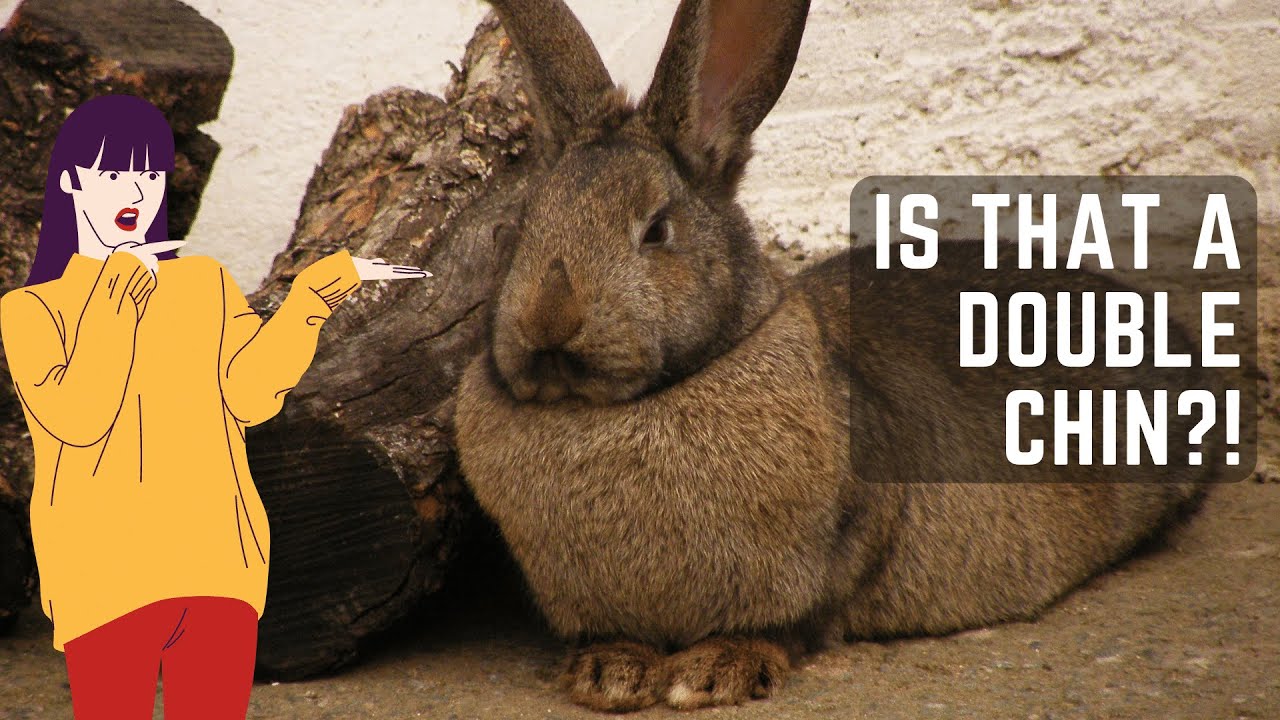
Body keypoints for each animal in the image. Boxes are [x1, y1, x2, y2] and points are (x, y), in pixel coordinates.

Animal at [454, 0, 1212, 712]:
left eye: (657, 230)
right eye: (522, 226)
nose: (548, 322)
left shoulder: (846, 540)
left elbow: (792, 624)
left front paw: (713, 672)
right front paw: (611, 673)